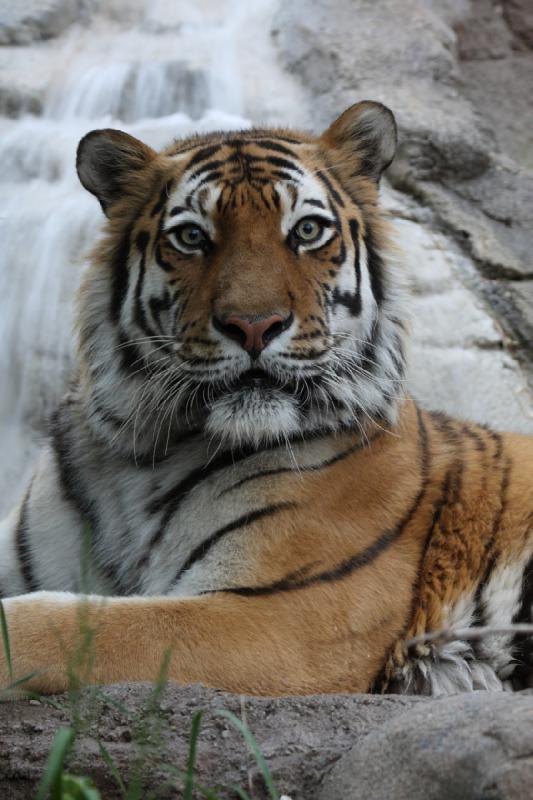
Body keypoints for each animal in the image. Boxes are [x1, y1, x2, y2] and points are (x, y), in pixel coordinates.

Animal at [0, 103, 528, 696]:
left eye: (307, 231)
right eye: (192, 236)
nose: (254, 325)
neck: (140, 456)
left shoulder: (290, 615)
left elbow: (75, 624)